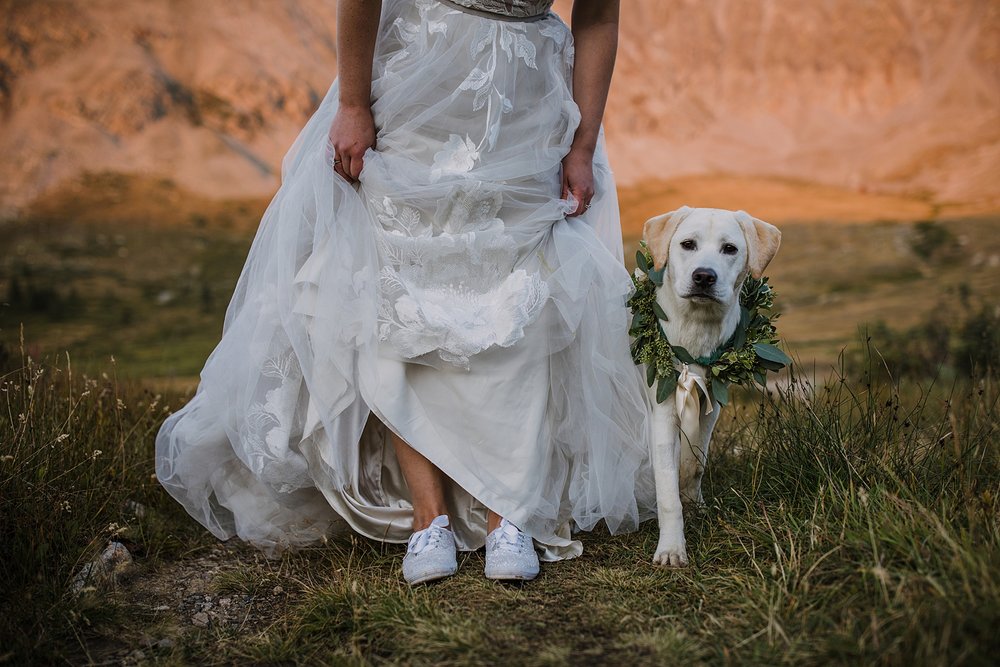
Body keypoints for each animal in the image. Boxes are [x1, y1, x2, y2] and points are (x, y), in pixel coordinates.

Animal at [640, 206, 780, 568]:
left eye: (729, 249)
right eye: (688, 244)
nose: (704, 276)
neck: (696, 327)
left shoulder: (710, 406)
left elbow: (695, 464)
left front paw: (694, 502)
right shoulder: (662, 412)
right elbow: (668, 491)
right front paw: (672, 548)